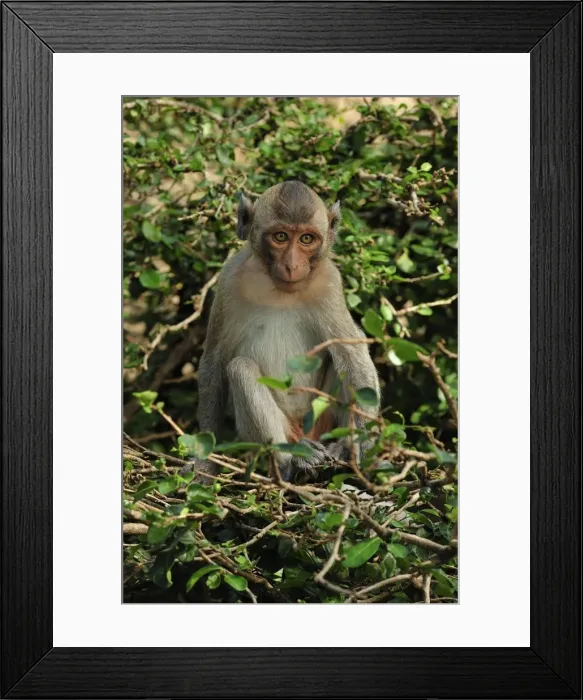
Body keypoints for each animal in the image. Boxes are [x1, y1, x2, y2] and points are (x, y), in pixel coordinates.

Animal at [192, 180, 380, 482]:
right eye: (280, 237)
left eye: (306, 239)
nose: (292, 265)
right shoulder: (229, 279)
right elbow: (214, 362)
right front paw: (204, 463)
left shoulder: (329, 282)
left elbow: (352, 353)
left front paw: (363, 443)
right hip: (287, 428)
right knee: (241, 368)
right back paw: (291, 459)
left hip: (322, 417)